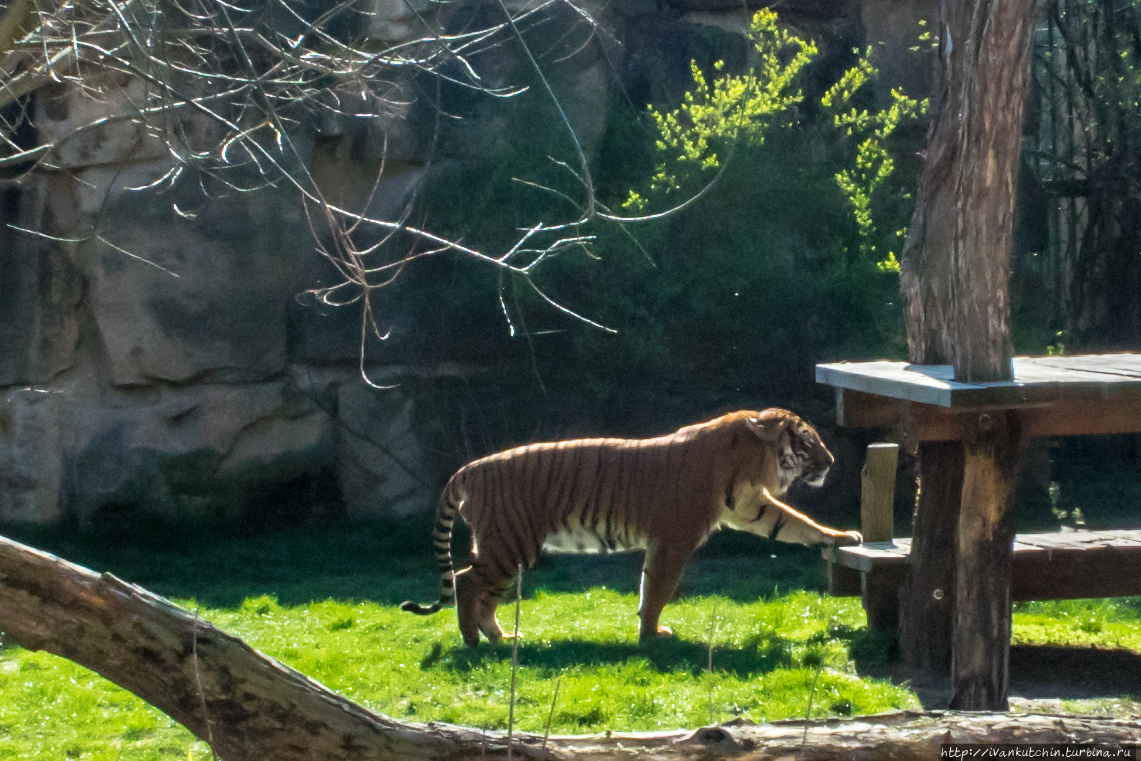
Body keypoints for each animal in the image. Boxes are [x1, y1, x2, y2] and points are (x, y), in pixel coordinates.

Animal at [401, 408, 858, 648]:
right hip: (511, 544)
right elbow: (655, 589)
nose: (833, 462)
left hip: (508, 549)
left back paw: (500, 639)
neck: (752, 463)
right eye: (807, 441)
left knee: (483, 590)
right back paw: (472, 641)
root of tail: (469, 468)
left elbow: (795, 523)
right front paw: (653, 635)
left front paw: (841, 536)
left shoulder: (752, 507)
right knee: (466, 580)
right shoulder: (673, 540)